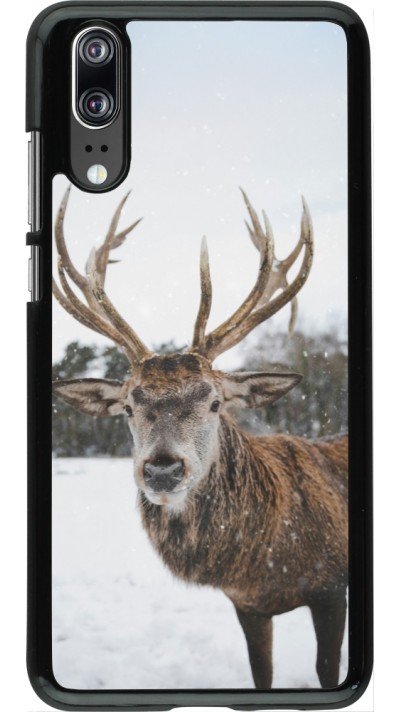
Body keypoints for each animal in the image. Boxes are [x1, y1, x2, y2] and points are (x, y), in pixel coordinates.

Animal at [52, 186, 348, 690]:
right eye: (128, 407)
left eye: (214, 401)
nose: (162, 469)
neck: (266, 563)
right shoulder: (248, 605)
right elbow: (261, 674)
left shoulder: (332, 588)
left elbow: (329, 670)